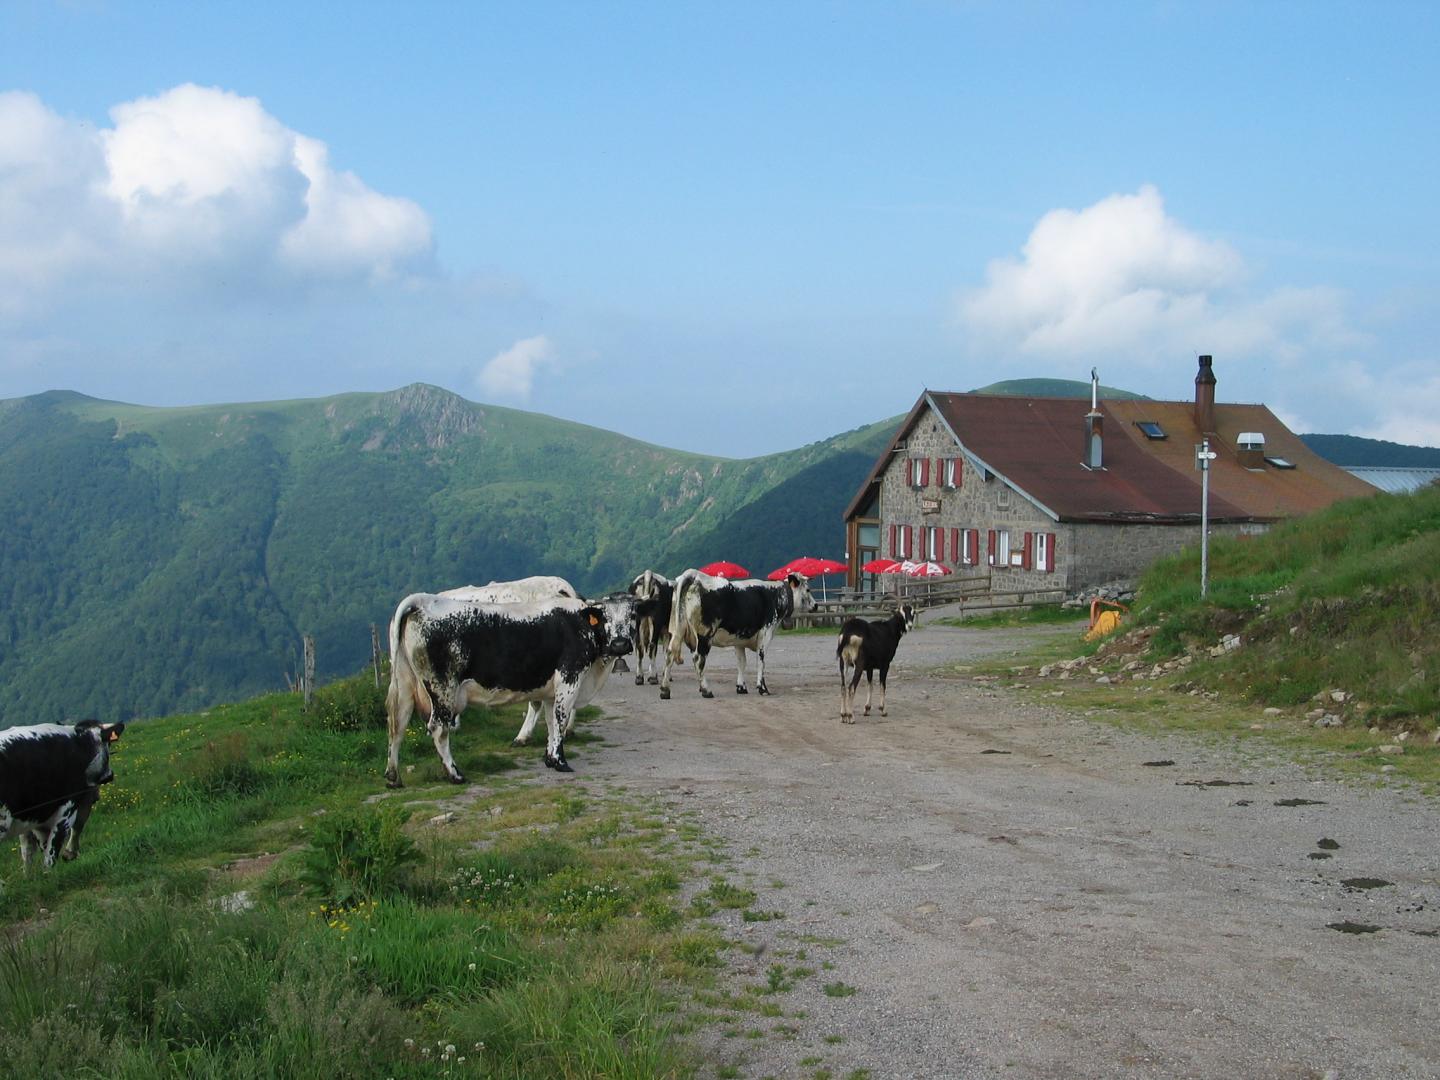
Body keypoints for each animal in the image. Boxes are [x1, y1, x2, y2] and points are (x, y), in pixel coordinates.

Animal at [1, 722, 123, 875]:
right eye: (109, 744)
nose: (110, 775)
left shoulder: (34, 817)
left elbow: (29, 852)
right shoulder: (66, 810)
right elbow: (51, 854)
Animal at [383, 593, 630, 789]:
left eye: (632, 615)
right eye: (605, 617)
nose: (620, 643)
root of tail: (422, 600)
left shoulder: (551, 690)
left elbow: (551, 722)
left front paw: (550, 759)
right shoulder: (569, 677)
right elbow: (560, 720)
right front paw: (561, 762)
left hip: (405, 682)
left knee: (397, 725)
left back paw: (393, 777)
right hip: (442, 687)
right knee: (438, 728)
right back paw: (455, 774)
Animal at [659, 576, 817, 702]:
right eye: (808, 589)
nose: (815, 605)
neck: (776, 595)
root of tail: (694, 577)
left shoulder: (739, 640)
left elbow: (741, 663)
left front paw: (741, 687)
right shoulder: (765, 634)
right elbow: (761, 661)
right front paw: (763, 688)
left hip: (678, 631)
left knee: (669, 654)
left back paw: (665, 690)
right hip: (704, 635)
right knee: (698, 659)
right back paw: (706, 690)